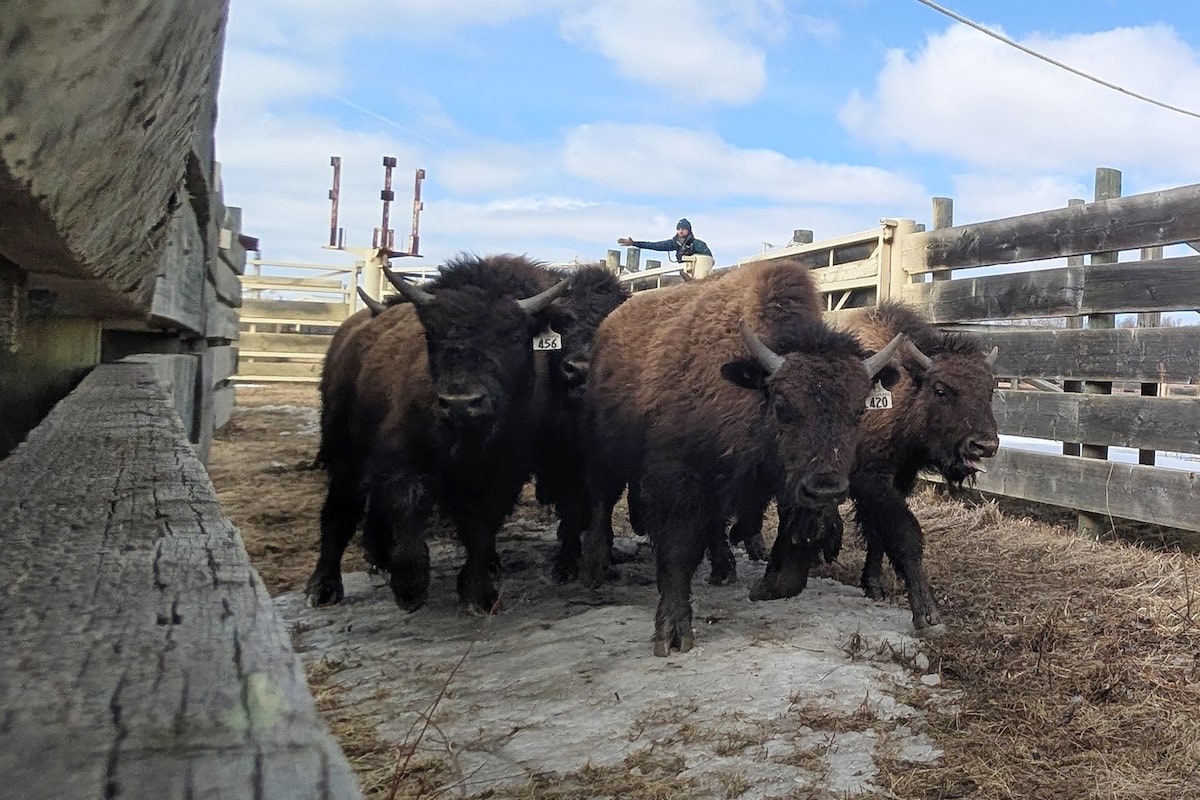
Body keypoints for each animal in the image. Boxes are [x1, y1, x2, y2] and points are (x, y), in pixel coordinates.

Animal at [305, 253, 572, 613]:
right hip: (344, 450)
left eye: (514, 336)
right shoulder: (404, 463)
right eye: (433, 335)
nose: (462, 403)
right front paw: (409, 590)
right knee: (339, 511)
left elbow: (480, 529)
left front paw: (479, 594)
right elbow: (408, 517)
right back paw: (324, 588)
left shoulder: (501, 475)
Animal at [579, 259, 904, 655]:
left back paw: (724, 569)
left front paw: (766, 586)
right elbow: (678, 548)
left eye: (859, 411)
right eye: (782, 406)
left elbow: (792, 548)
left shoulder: (782, 485)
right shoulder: (679, 478)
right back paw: (595, 569)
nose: (826, 488)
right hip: (604, 451)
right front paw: (673, 633)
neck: (751, 393)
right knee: (601, 502)